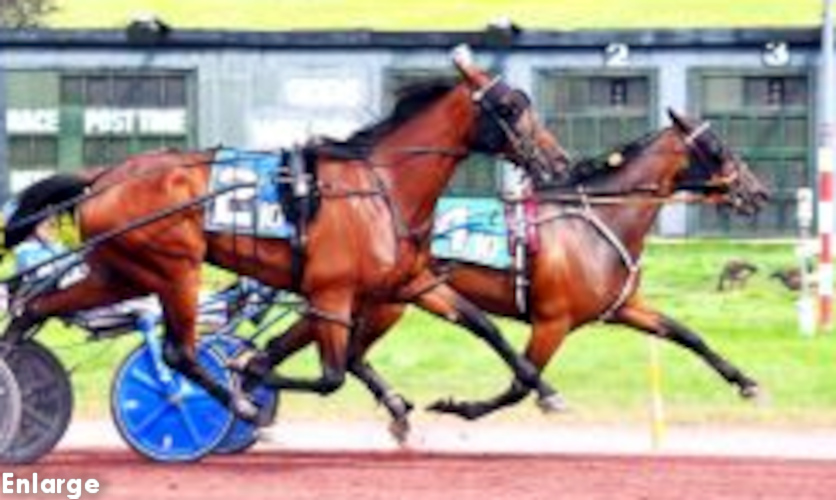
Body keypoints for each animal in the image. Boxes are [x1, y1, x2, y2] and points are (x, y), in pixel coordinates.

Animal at [0, 48, 568, 422]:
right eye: (511, 108)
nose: (559, 162)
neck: (382, 184)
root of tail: (104, 177)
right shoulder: (331, 292)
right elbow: (330, 374)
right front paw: (248, 369)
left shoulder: (412, 282)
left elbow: (486, 327)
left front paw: (544, 390)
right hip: (174, 270)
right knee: (179, 354)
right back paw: (240, 404)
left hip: (117, 271)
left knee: (33, 307)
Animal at [245, 110, 768, 438]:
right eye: (718, 146)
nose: (758, 192)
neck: (593, 220)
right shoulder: (553, 321)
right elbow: (522, 381)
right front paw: (461, 406)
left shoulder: (624, 308)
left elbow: (688, 335)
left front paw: (748, 383)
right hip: (381, 302)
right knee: (333, 352)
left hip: (370, 299)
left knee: (317, 349)